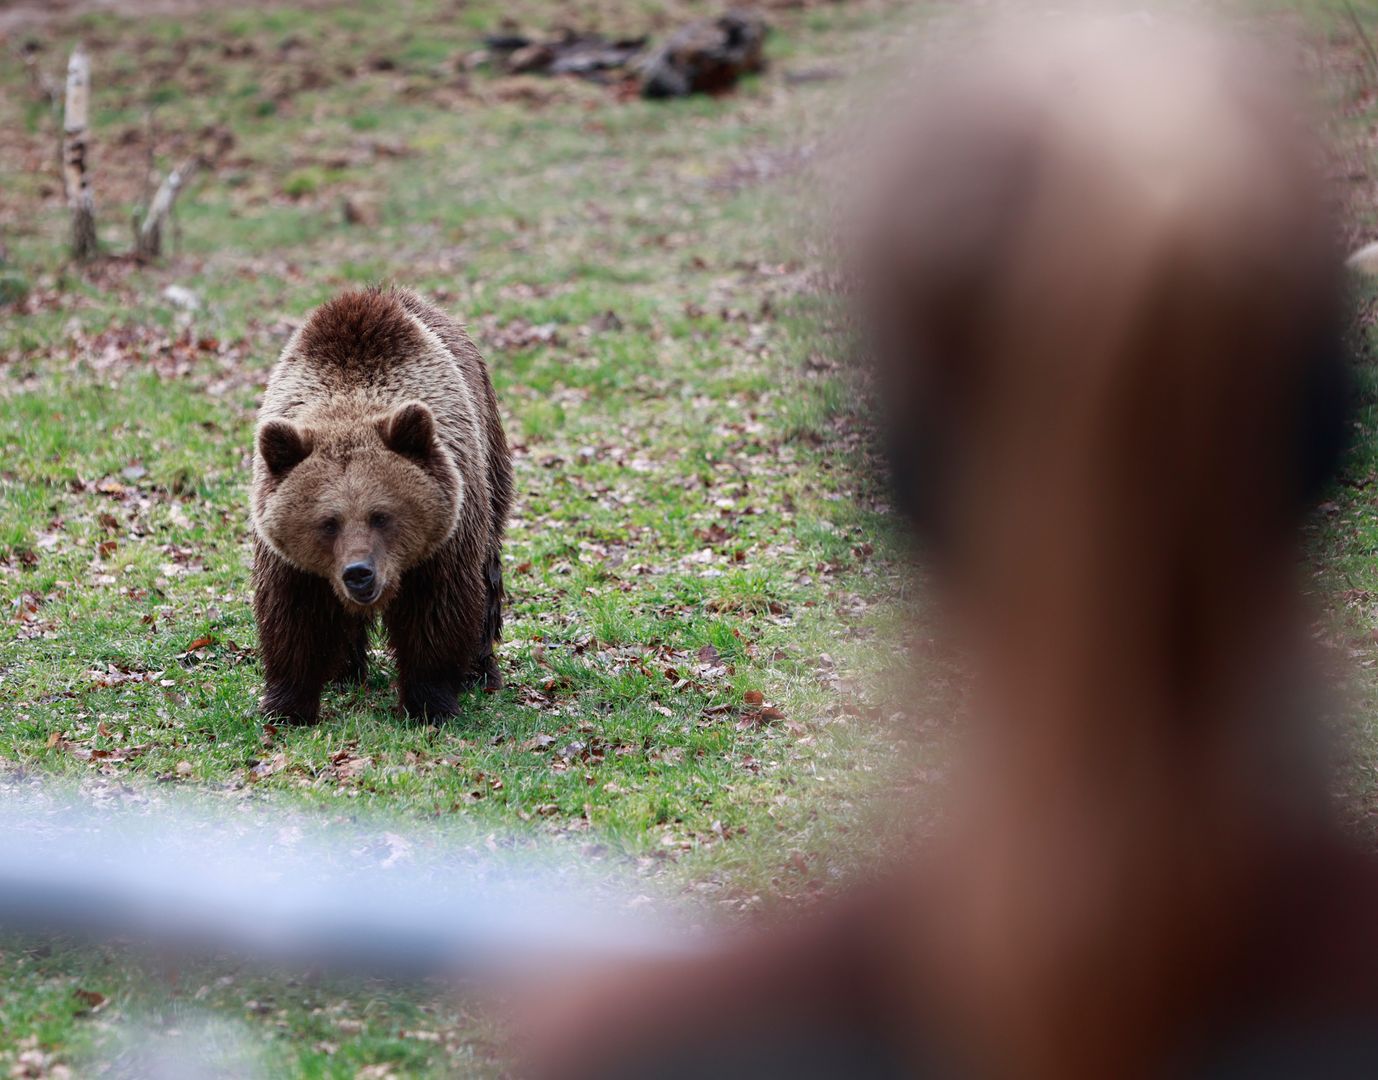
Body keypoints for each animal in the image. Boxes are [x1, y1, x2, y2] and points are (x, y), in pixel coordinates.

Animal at [249, 286, 512, 727]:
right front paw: (287, 706)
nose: (359, 573)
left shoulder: (445, 540)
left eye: (382, 516)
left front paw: (429, 704)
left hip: (489, 460)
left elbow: (437, 612)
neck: (351, 398)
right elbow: (293, 617)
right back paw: (343, 670)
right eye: (328, 522)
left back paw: (480, 669)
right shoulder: (290, 561)